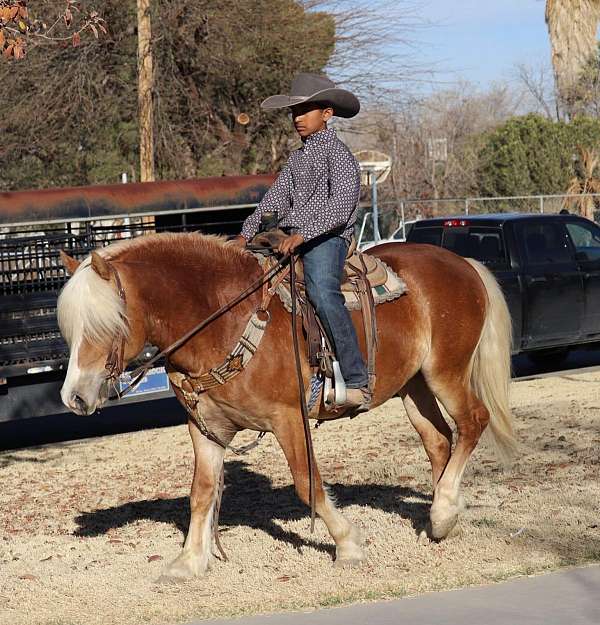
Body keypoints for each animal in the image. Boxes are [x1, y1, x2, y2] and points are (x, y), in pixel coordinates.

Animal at [57, 233, 516, 580]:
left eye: (108, 323)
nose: (74, 397)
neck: (223, 321)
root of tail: (462, 262)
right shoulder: (205, 427)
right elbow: (201, 492)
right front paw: (188, 561)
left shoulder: (288, 417)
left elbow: (306, 483)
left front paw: (348, 545)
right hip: (414, 386)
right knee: (439, 441)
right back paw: (443, 518)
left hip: (446, 372)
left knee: (473, 422)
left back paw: (443, 509)